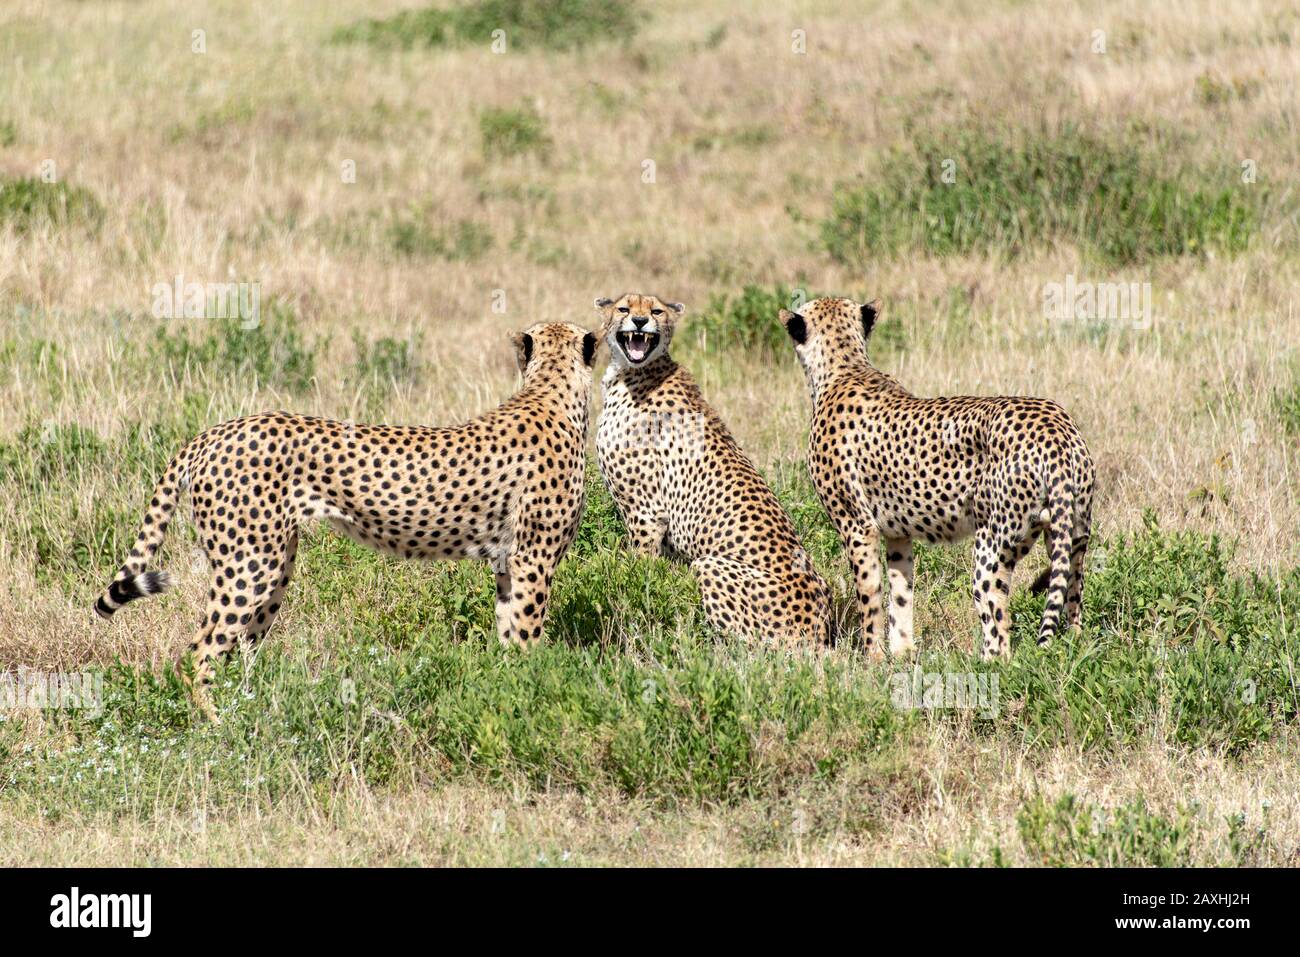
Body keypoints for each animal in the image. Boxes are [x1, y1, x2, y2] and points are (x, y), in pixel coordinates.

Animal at [94, 321, 598, 717]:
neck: (549, 390)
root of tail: (215, 431)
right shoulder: (533, 560)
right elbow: (528, 634)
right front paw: (529, 691)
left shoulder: (507, 564)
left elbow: (509, 633)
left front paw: (507, 686)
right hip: (250, 564)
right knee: (198, 653)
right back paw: (219, 726)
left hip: (276, 563)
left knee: (243, 646)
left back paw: (254, 711)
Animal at [595, 291, 832, 642]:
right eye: (624, 308)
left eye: (656, 311)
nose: (639, 321)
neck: (633, 372)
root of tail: (819, 630)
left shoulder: (645, 511)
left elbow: (640, 569)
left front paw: (637, 592)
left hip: (711, 566)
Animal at [774, 297, 1092, 657]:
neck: (844, 366)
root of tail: (1056, 427)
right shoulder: (897, 533)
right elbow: (901, 592)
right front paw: (902, 652)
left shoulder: (857, 526)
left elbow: (870, 596)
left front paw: (872, 657)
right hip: (1070, 533)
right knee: (1072, 591)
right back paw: (1073, 643)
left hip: (992, 542)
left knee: (997, 617)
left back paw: (983, 662)